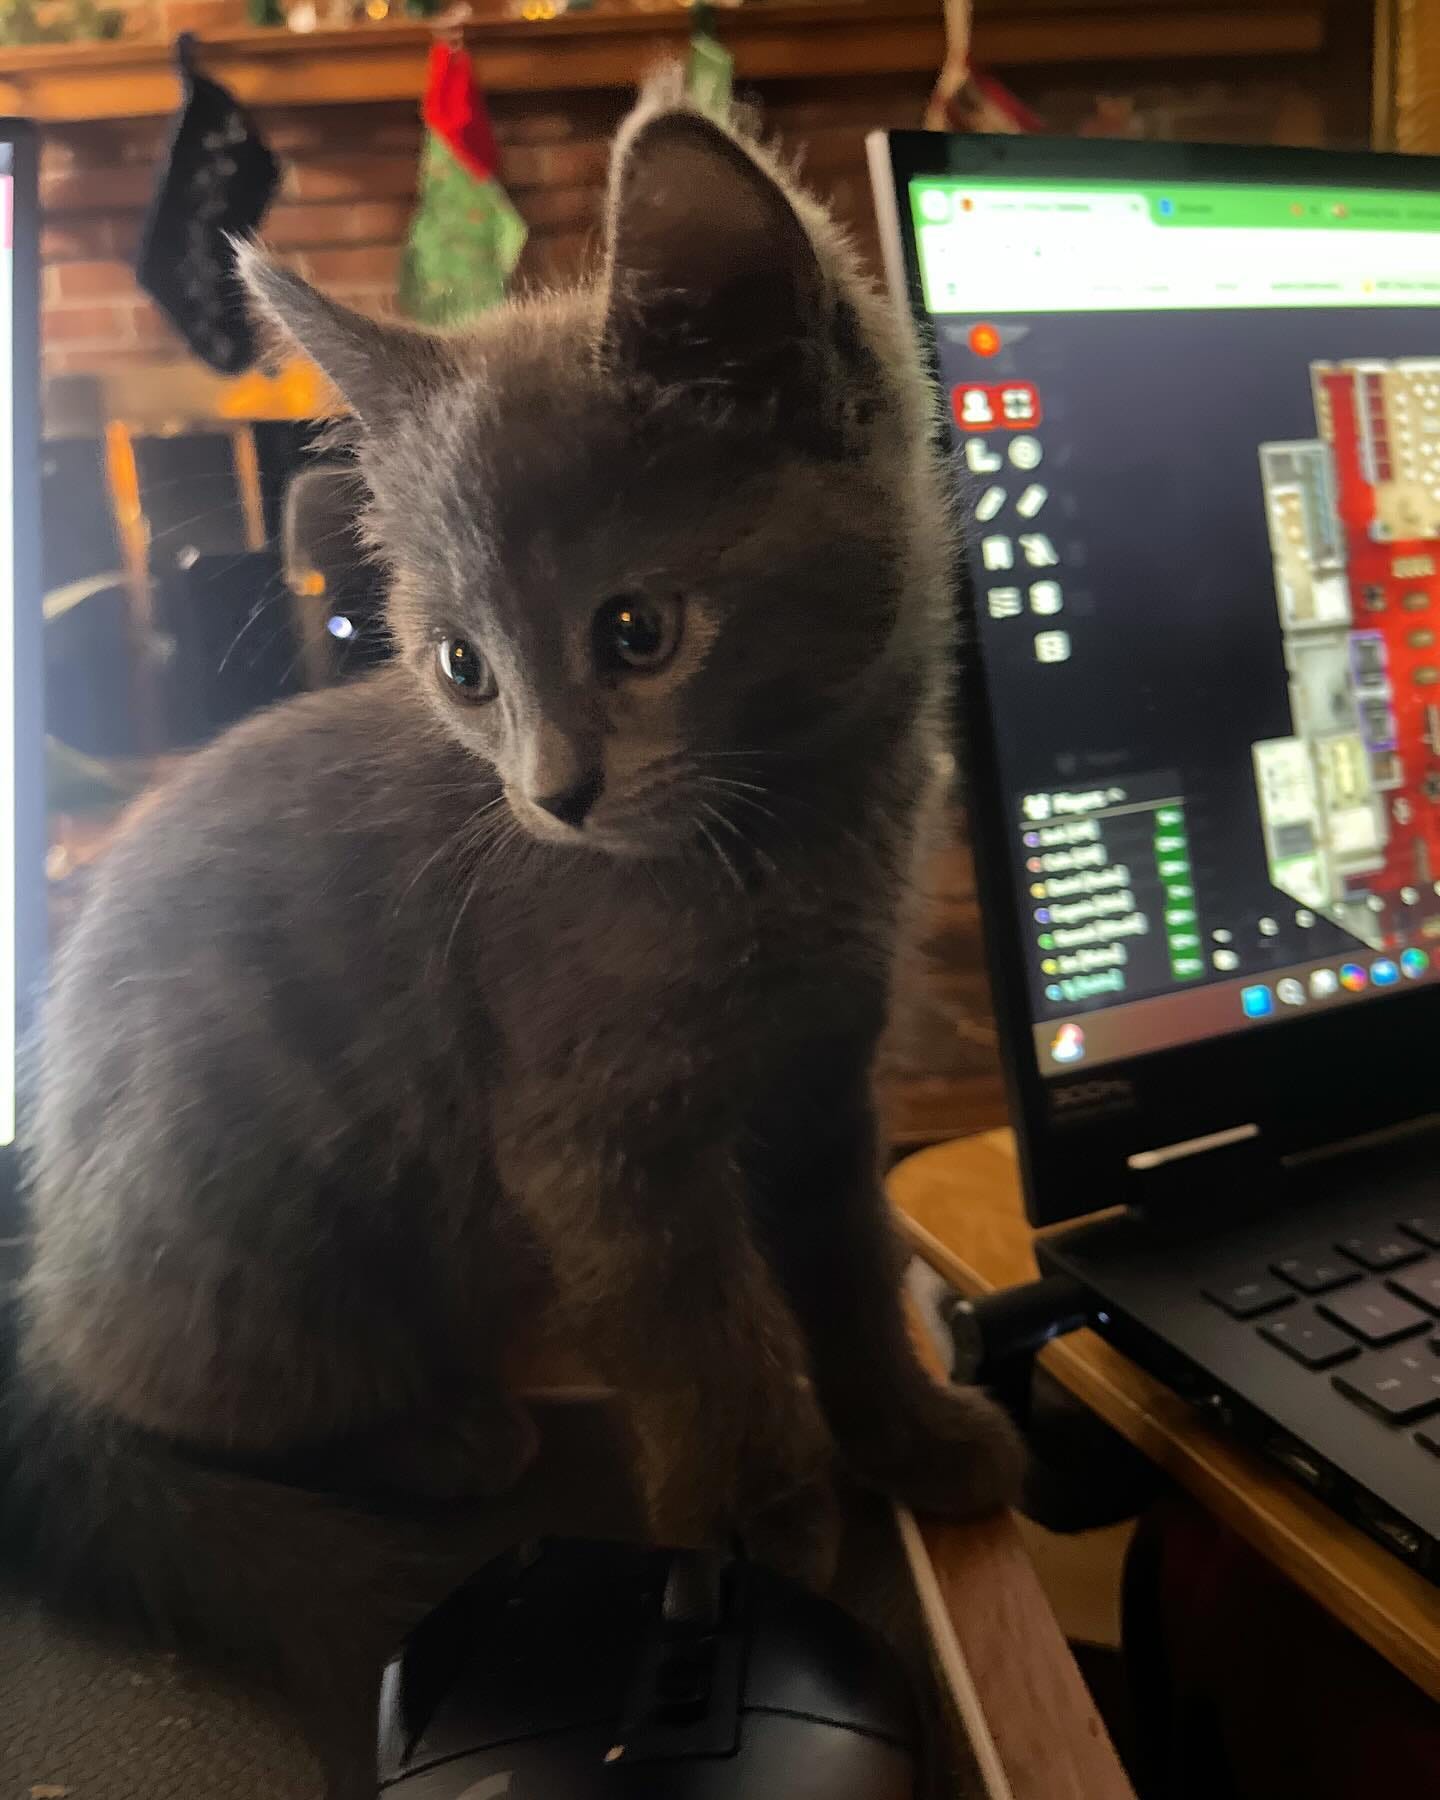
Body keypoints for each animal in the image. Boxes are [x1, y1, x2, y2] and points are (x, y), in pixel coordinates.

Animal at [11, 84, 1022, 1663]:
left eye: (636, 630)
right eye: (461, 667)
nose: (555, 796)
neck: (784, 841)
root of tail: (49, 1280)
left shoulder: (825, 1081)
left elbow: (850, 1273)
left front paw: (912, 1438)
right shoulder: (593, 1137)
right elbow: (695, 1334)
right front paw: (755, 1521)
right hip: (246, 1219)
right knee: (196, 1403)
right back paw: (439, 1435)